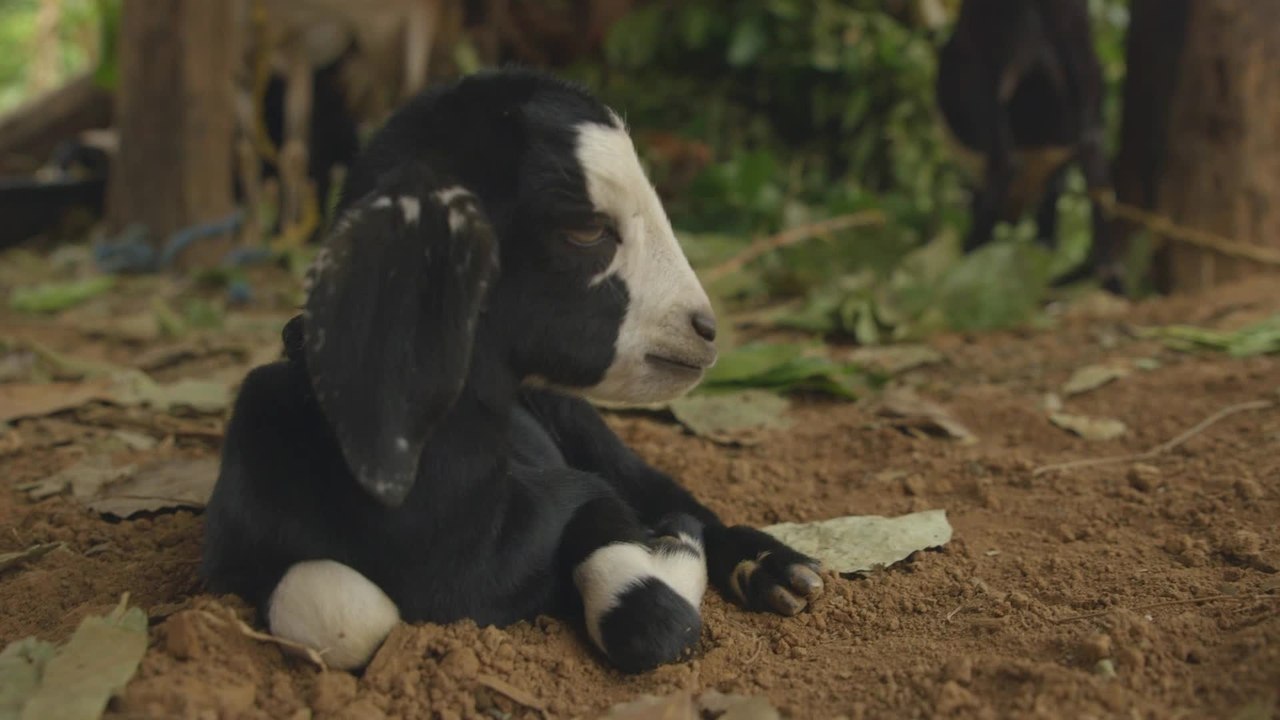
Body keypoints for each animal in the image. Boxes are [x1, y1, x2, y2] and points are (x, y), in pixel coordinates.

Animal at [201, 68, 824, 674]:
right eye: (585, 229)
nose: (704, 327)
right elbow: (341, 610)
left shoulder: (583, 492)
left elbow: (644, 609)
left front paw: (678, 544)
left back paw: (773, 569)